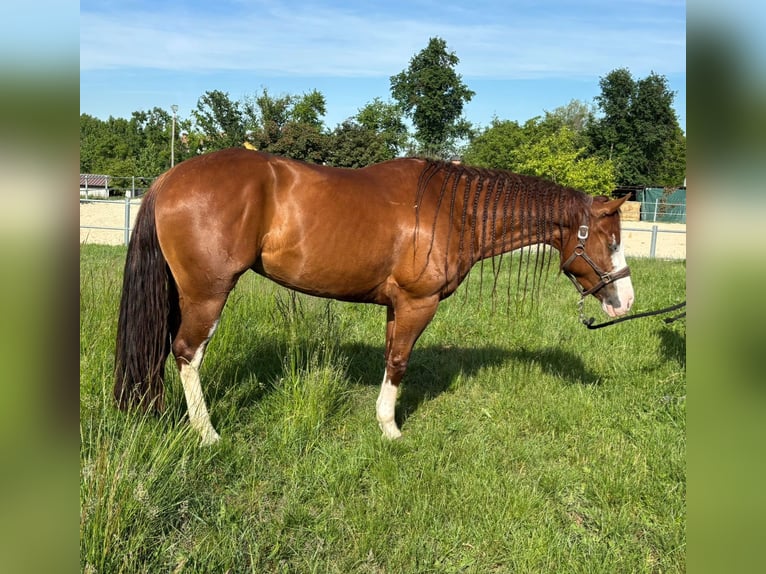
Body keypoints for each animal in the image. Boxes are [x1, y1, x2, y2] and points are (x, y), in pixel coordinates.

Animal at [114, 149, 634, 444]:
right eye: (611, 240)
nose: (625, 301)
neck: (454, 209)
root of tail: (168, 179)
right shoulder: (418, 303)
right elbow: (400, 363)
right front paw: (391, 430)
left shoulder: (395, 306)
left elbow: (389, 359)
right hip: (208, 294)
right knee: (187, 353)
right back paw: (207, 434)